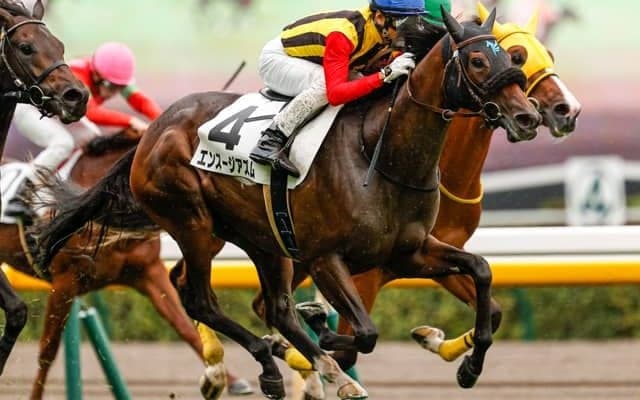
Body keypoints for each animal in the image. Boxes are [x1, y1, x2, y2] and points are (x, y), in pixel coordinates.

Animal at [35, 8, 541, 398]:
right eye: (477, 59)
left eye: (510, 57)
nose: (528, 117)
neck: (381, 155)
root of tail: (152, 132)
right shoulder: (326, 258)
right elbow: (364, 333)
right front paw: (323, 340)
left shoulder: (408, 252)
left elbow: (481, 269)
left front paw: (468, 366)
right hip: (193, 222)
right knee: (199, 298)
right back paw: (288, 361)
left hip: (263, 238)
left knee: (272, 306)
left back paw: (286, 358)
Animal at [282, 4, 583, 376]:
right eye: (517, 55)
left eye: (549, 53)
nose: (567, 110)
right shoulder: (364, 273)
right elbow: (348, 350)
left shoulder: (431, 253)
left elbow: (493, 310)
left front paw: (438, 342)